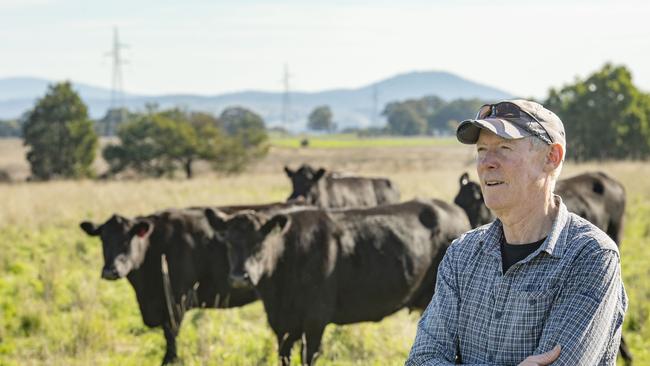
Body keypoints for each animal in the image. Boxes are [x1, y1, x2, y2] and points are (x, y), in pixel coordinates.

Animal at [79, 202, 298, 364]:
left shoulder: (177, 300)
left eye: (127, 240)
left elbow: (170, 334)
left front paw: (170, 360)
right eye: (103, 240)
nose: (110, 270)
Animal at [205, 200, 468, 366]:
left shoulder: (315, 320)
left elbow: (308, 357)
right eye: (228, 242)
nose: (240, 277)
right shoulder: (282, 325)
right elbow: (284, 357)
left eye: (260, 241)